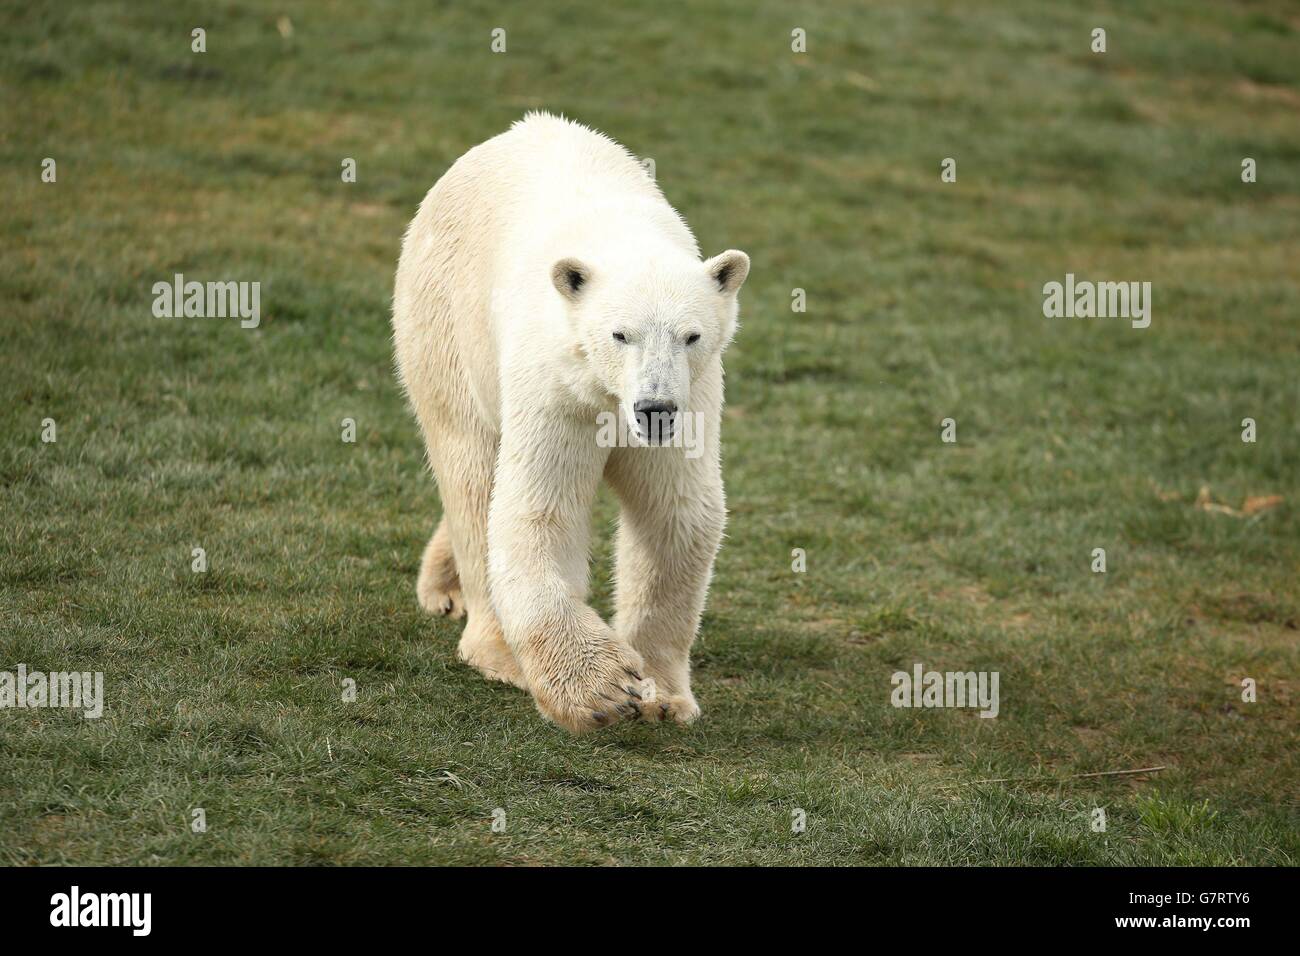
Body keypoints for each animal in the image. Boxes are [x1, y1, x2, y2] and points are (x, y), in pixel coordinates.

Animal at [391, 112, 749, 733]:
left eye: (691, 335)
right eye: (620, 334)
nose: (654, 409)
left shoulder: (693, 396)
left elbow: (676, 512)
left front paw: (665, 696)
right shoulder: (558, 385)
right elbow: (540, 508)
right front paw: (600, 688)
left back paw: (442, 585)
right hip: (443, 322)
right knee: (469, 469)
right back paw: (495, 647)